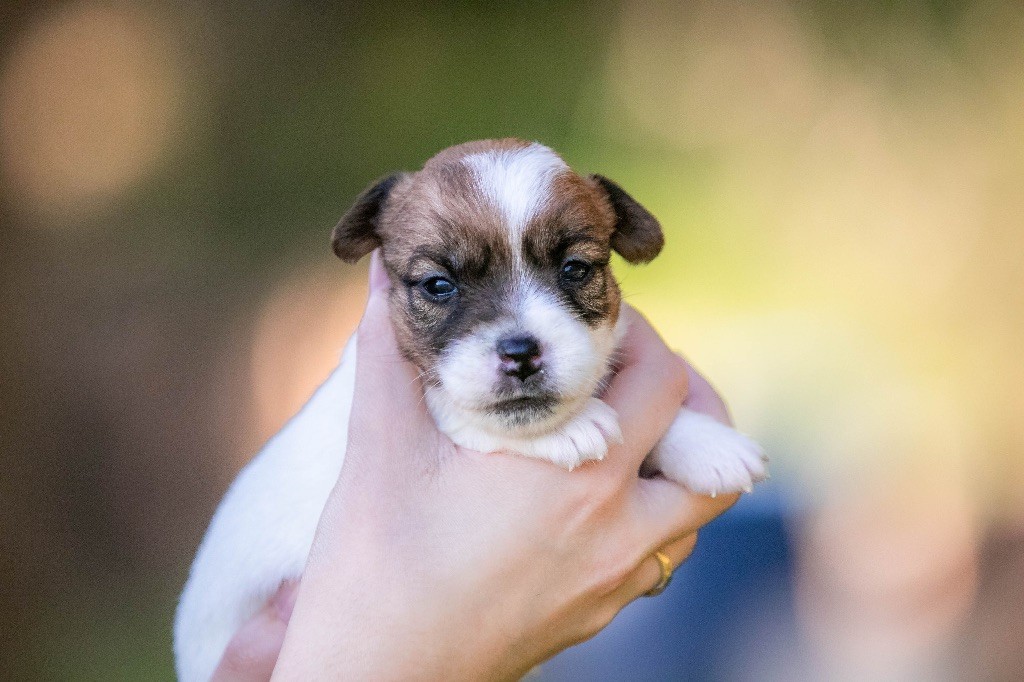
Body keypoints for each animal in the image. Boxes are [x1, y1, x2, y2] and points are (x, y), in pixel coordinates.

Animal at [176, 139, 770, 679]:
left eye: (576, 270)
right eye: (439, 284)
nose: (521, 352)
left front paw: (709, 444)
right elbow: (459, 410)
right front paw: (569, 429)